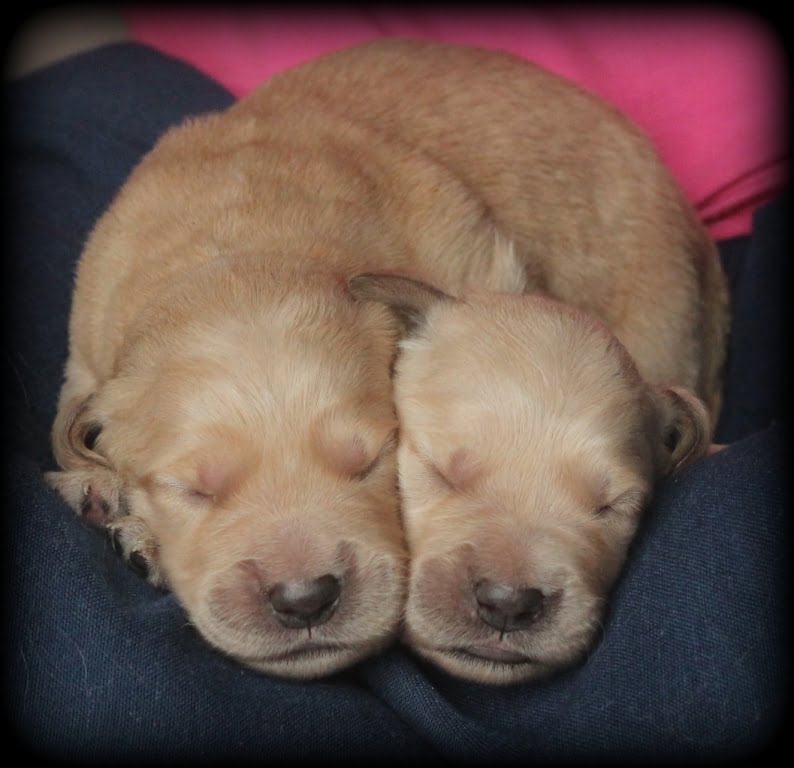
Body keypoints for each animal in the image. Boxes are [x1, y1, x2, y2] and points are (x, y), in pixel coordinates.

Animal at [43, 39, 724, 680]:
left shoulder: (478, 264)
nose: (304, 598)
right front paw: (110, 501)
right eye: (194, 492)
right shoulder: (87, 347)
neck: (241, 249)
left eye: (370, 463)